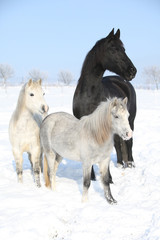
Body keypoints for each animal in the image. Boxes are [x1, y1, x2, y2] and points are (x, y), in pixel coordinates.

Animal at [72, 28, 136, 180]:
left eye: (124, 49)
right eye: (113, 49)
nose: (132, 71)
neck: (89, 95)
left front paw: (108, 178)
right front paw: (92, 176)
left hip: (130, 120)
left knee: (129, 141)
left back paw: (130, 164)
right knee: (119, 142)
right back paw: (120, 164)